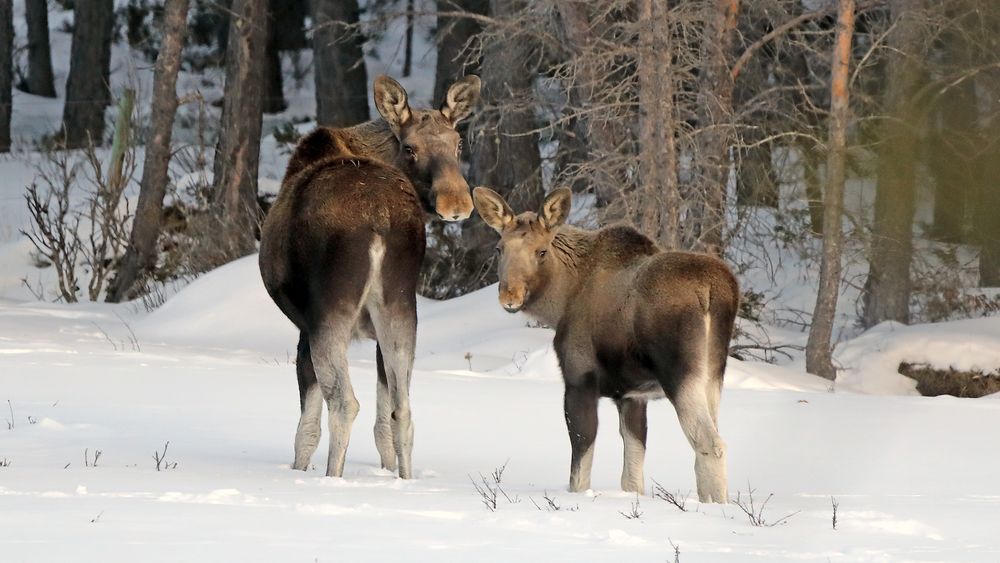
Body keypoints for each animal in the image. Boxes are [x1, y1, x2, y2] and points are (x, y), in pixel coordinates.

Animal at [260, 75, 482, 480]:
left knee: (345, 403)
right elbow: (383, 424)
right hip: (400, 308)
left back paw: (332, 479)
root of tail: (378, 217)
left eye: (458, 144)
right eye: (410, 148)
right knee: (403, 409)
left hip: (330, 312)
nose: (456, 203)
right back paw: (405, 482)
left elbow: (306, 429)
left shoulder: (303, 326)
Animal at [472, 187, 740, 504]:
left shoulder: (579, 380)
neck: (560, 302)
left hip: (681, 375)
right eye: (499, 249)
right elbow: (632, 475)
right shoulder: (632, 397)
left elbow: (580, 463)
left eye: (541, 251)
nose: (510, 296)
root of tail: (716, 291)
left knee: (711, 444)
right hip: (713, 376)